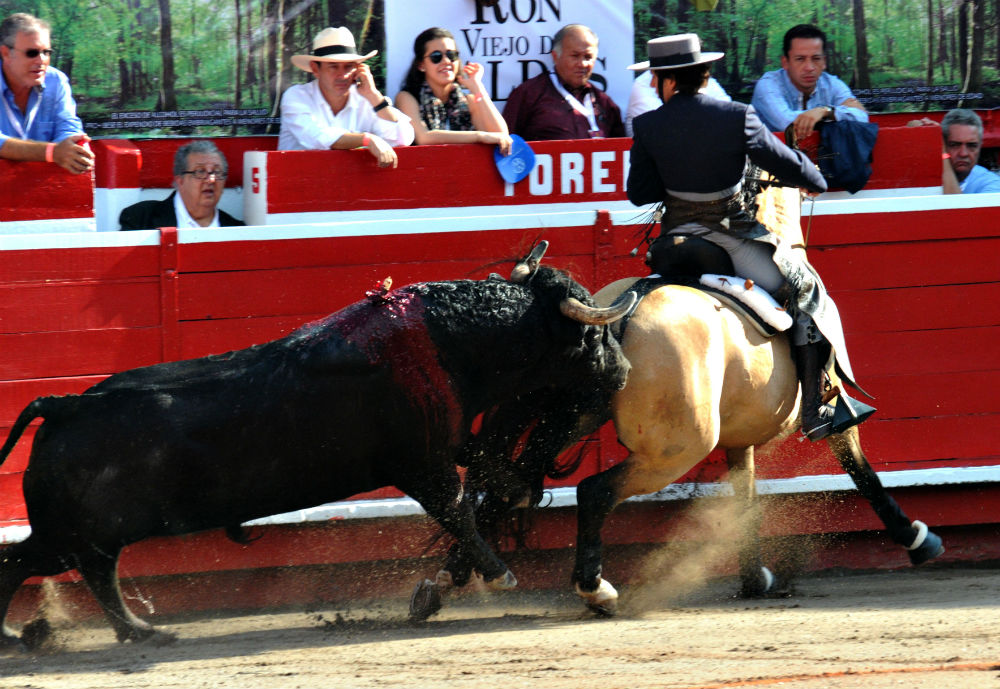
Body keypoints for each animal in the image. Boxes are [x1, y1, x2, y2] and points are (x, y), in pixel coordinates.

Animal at [0, 253, 628, 644]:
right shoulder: (422, 464)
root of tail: (65, 404)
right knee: (34, 564)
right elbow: (457, 512)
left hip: (88, 536)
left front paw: (515, 498)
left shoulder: (451, 442)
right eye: (591, 335)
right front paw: (498, 574)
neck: (446, 343)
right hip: (73, 533)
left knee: (83, 573)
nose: (622, 372)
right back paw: (47, 634)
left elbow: (490, 472)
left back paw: (132, 631)